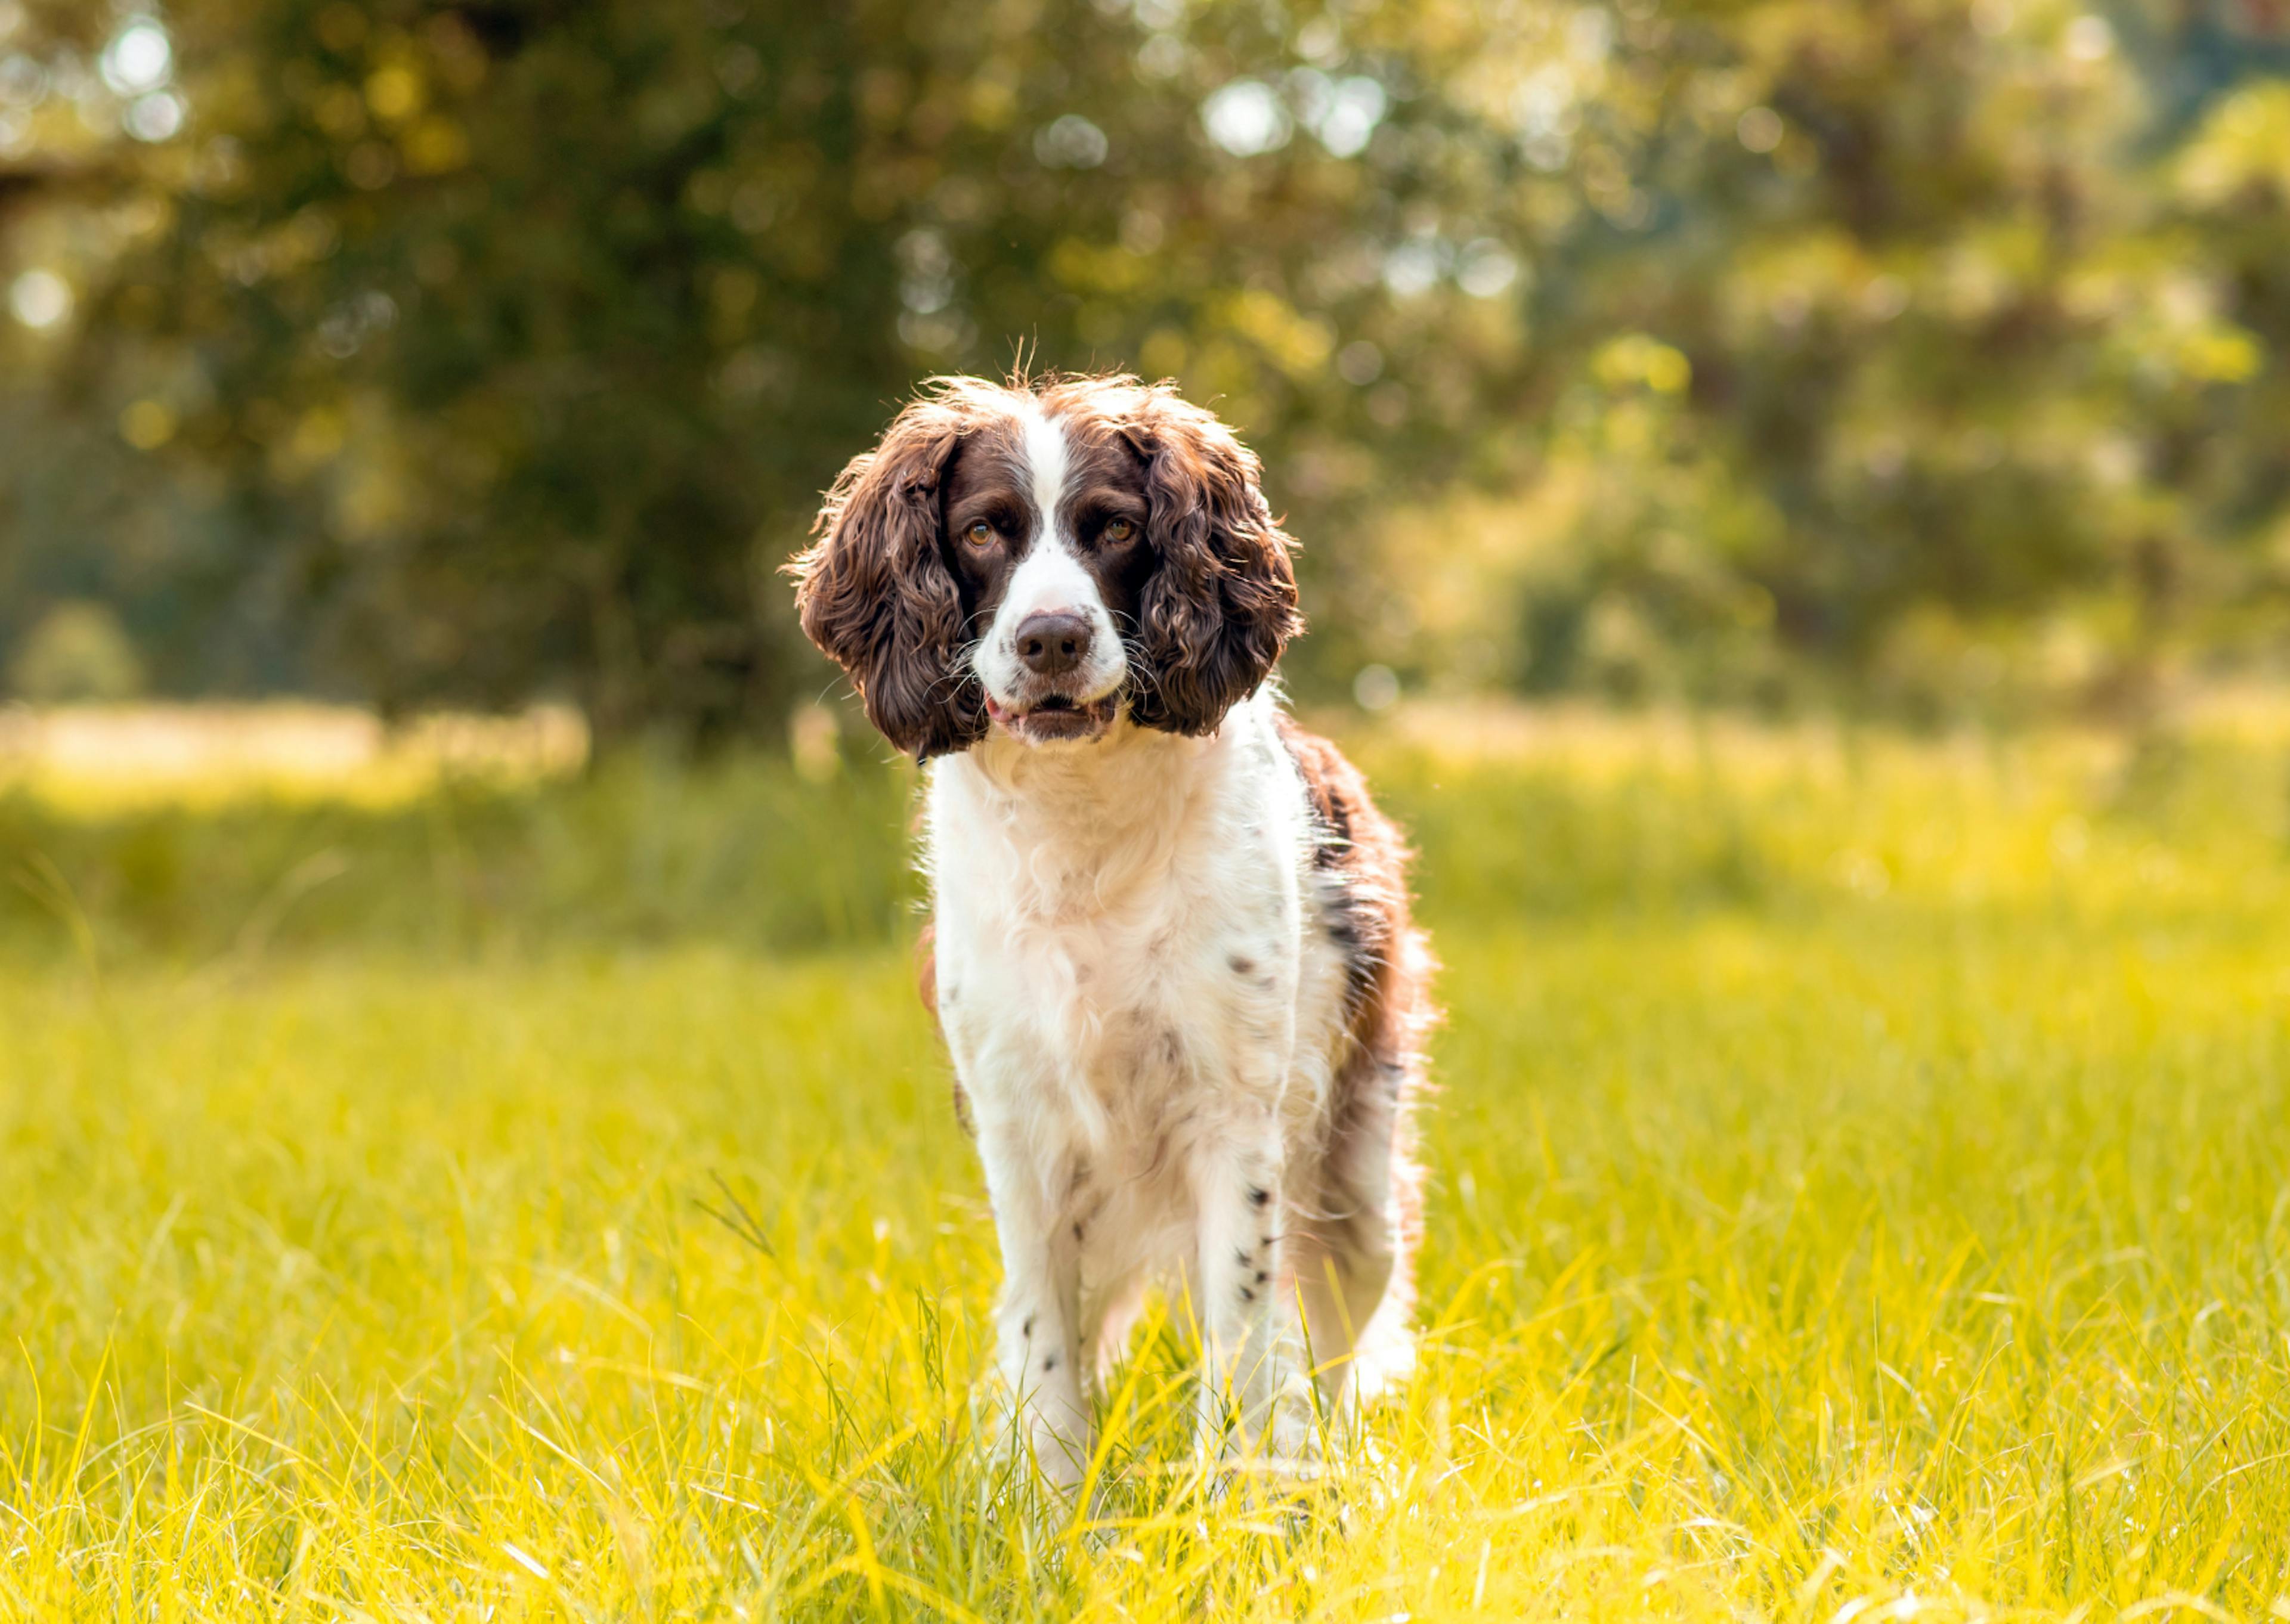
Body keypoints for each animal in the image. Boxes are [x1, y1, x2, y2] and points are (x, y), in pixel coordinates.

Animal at [787, 373, 1429, 1484]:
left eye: (1118, 527)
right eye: (983, 530)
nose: (1051, 638)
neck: (1081, 826)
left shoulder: (1233, 1116)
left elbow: (1242, 1330)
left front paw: (1228, 1492)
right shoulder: (1019, 1118)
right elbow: (1044, 1333)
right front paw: (1044, 1495)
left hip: (1359, 1182)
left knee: (1336, 1340)